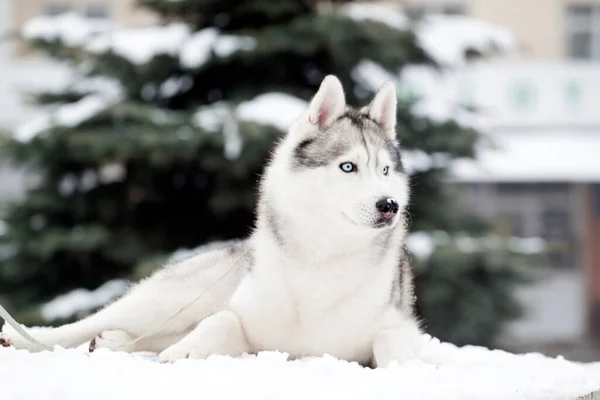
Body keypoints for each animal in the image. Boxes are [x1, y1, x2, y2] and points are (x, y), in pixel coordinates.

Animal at [1, 75, 422, 368]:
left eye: (385, 170)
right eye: (348, 167)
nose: (389, 205)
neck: (320, 261)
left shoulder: (398, 326)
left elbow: (391, 342)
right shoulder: (244, 323)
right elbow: (222, 322)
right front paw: (186, 352)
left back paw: (114, 342)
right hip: (172, 298)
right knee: (91, 324)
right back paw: (25, 339)